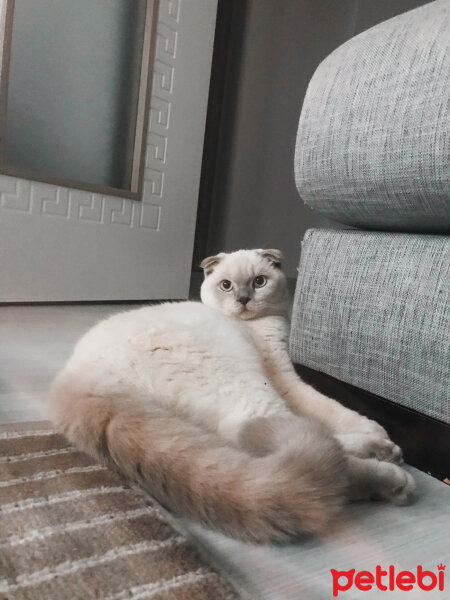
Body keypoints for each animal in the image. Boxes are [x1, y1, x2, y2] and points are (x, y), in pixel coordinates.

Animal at [50, 248, 414, 544]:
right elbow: (331, 407)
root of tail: (78, 380)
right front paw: (375, 429)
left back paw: (385, 452)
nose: (243, 300)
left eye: (259, 281)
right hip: (247, 388)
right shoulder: (284, 379)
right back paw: (393, 474)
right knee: (301, 449)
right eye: (226, 285)